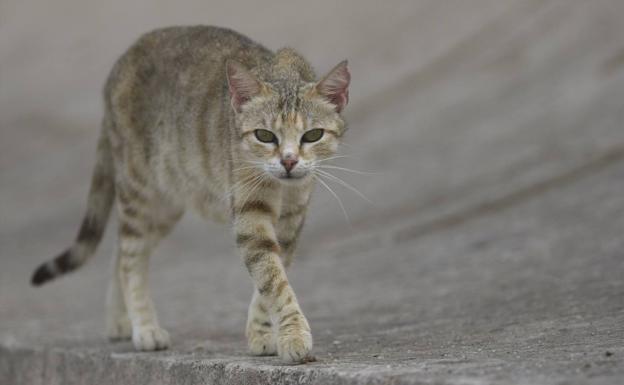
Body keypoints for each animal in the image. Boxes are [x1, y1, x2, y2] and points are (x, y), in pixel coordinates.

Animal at [30, 26, 352, 364]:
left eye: (312, 135)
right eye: (265, 136)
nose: (288, 161)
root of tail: (121, 63)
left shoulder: (292, 217)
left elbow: (271, 277)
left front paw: (262, 333)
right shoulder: (250, 211)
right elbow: (272, 279)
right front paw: (293, 335)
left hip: (167, 204)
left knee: (119, 254)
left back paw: (119, 320)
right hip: (139, 191)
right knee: (130, 259)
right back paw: (144, 327)